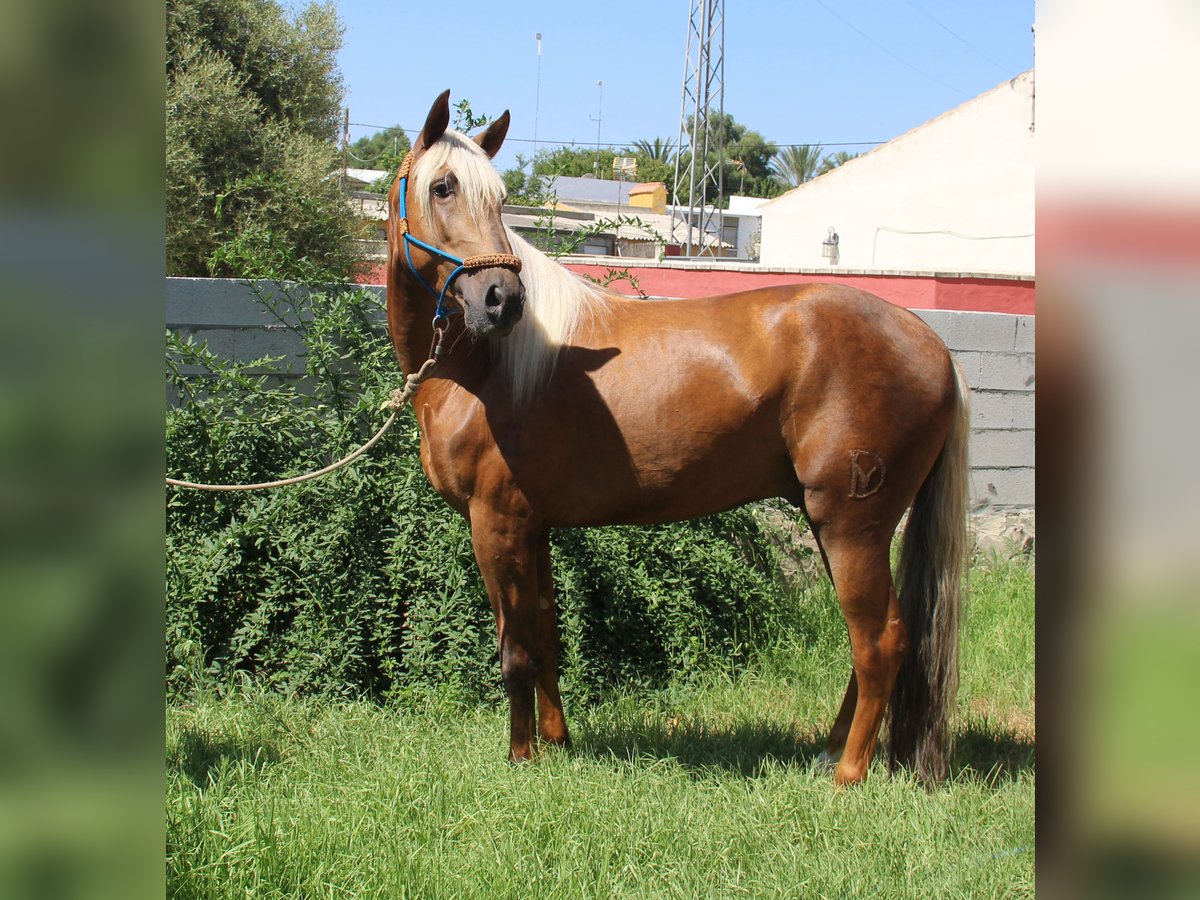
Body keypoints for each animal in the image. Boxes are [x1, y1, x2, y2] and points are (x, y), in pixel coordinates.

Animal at [388, 88, 969, 787]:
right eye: (442, 186)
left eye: (499, 198)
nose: (502, 300)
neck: (484, 368)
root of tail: (929, 342)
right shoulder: (534, 527)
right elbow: (547, 633)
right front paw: (557, 742)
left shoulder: (496, 522)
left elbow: (515, 649)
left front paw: (521, 756)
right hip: (842, 527)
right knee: (875, 642)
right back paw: (830, 751)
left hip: (851, 526)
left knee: (880, 640)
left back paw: (847, 775)